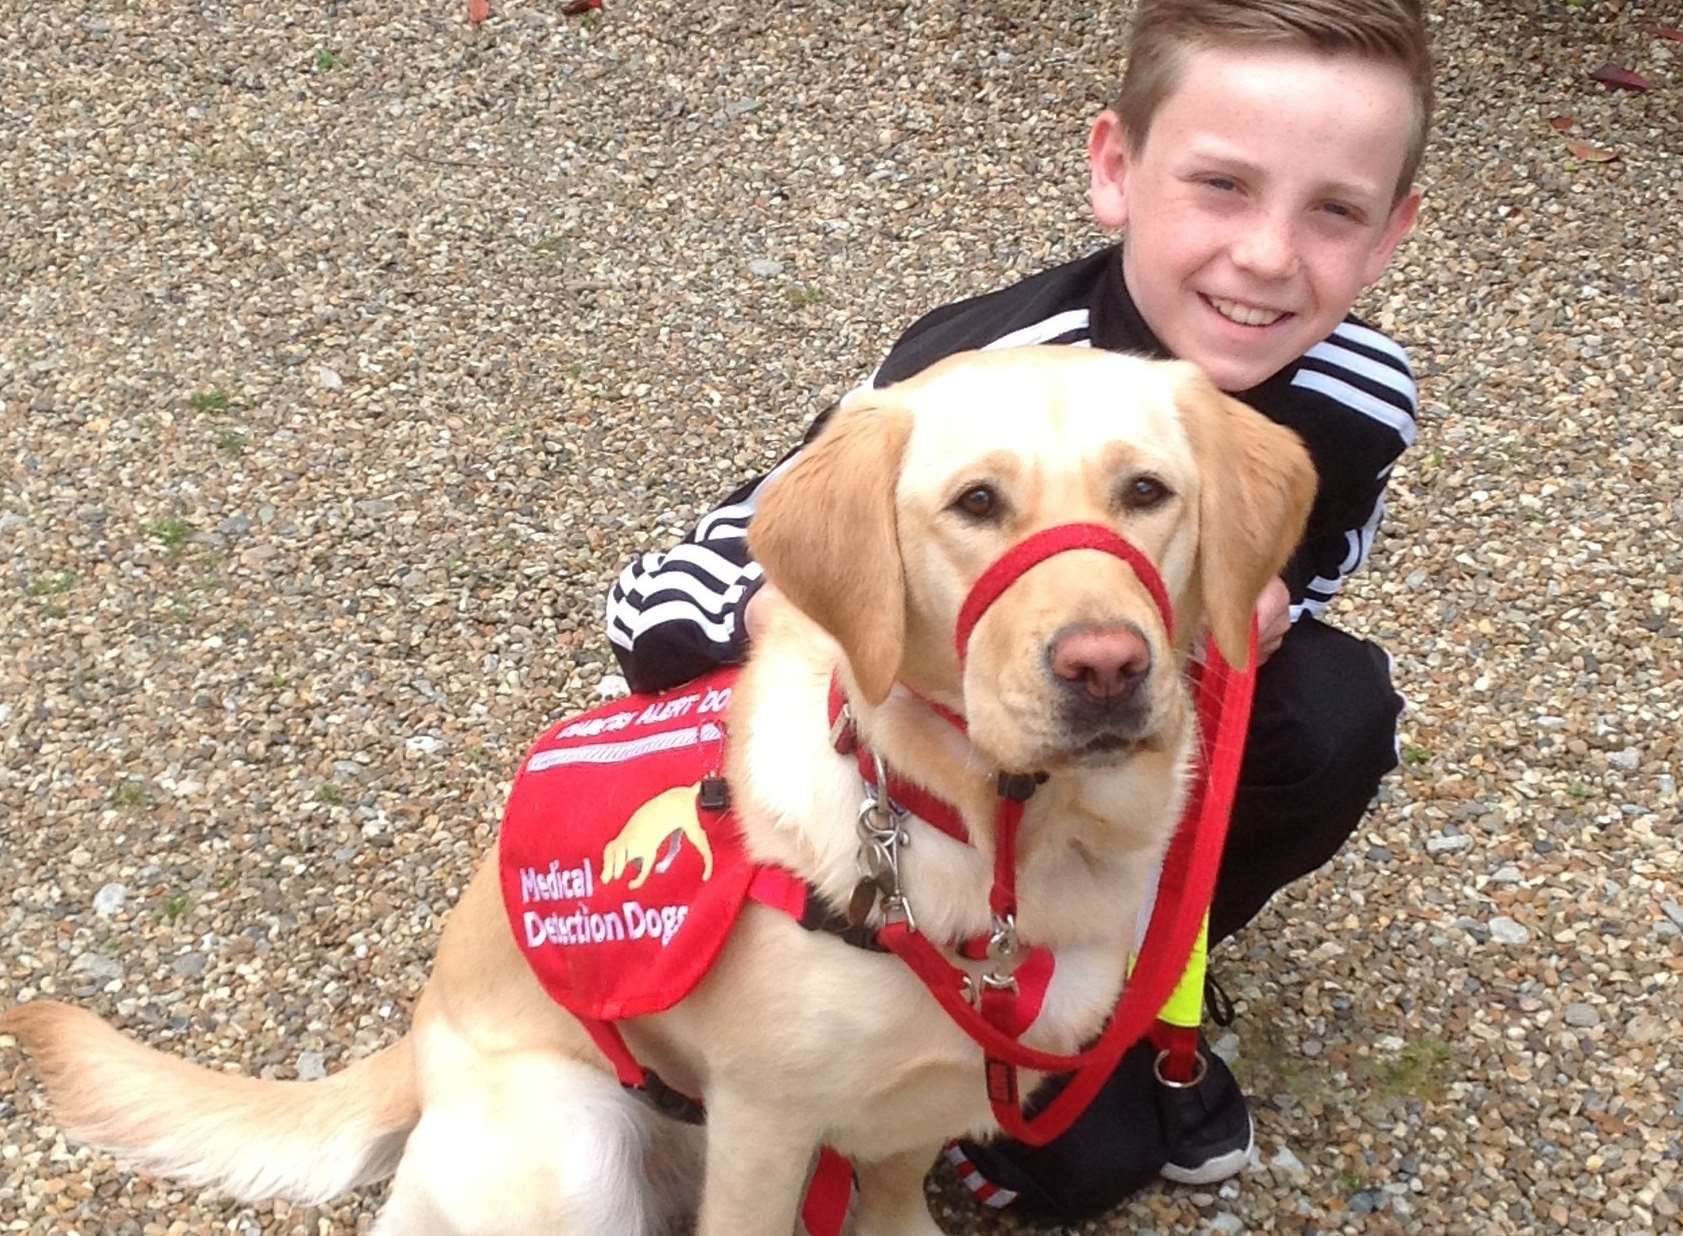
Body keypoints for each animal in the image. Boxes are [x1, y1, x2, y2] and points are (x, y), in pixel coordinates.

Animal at [3, 348, 1312, 1236]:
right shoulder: (766, 1124)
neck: (1000, 845)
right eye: (976, 504)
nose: (1106, 667)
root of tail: (418, 1040)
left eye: (1146, 492)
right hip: (574, 1144)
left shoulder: (917, 1110)